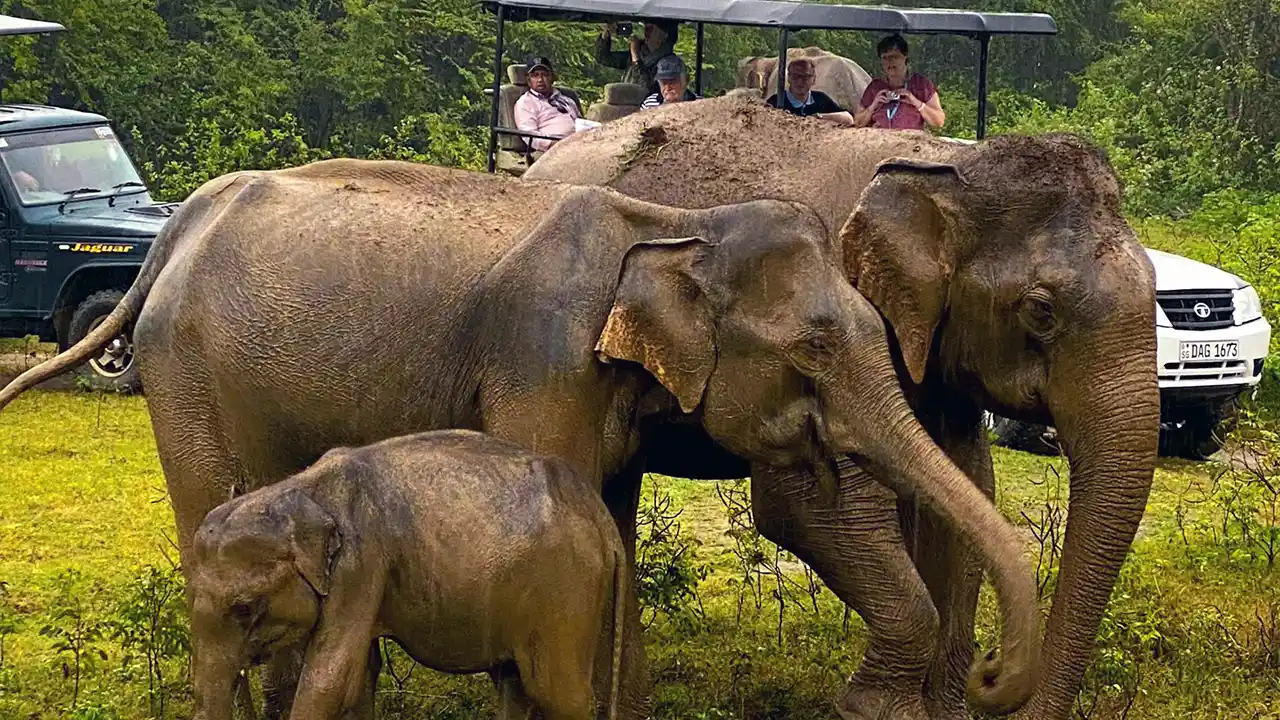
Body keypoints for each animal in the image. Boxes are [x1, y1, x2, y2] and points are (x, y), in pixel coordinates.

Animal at [189, 429, 629, 720]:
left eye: (245, 608)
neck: (300, 489)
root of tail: (601, 517)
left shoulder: (362, 563)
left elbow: (332, 678)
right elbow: (359, 675)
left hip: (565, 591)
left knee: (558, 693)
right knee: (514, 683)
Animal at [524, 95, 1159, 720]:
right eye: (1040, 310)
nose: (992, 669)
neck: (949, 165)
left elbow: (968, 490)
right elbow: (810, 509)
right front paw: (877, 708)